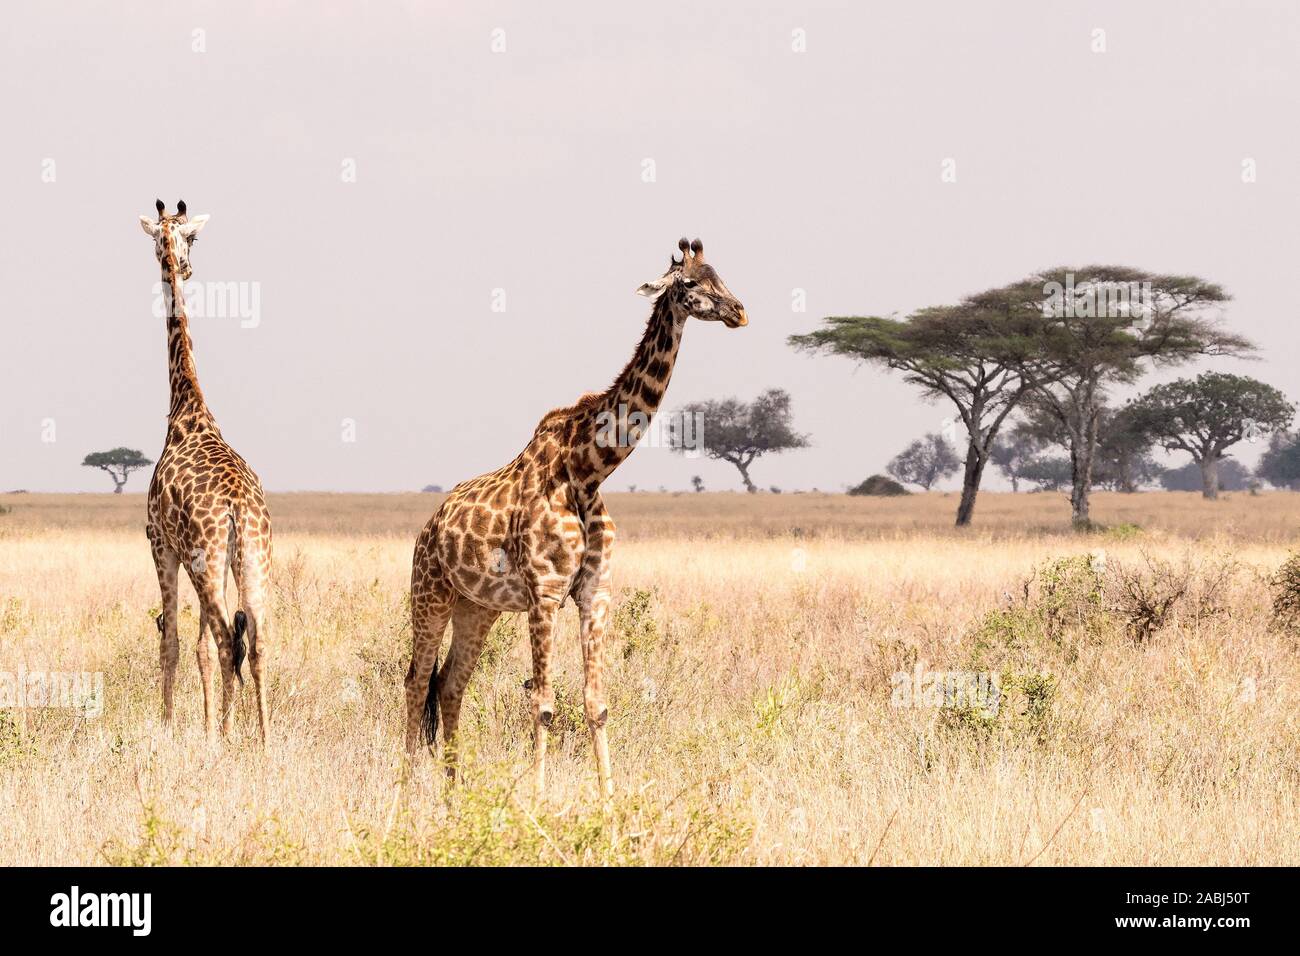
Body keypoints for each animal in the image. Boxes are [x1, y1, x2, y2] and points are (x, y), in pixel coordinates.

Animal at [404, 238, 747, 798]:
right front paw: (537, 800)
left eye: (723, 275)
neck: (589, 470)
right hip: (429, 593)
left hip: (478, 608)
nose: (740, 311)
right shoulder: (544, 592)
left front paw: (608, 800)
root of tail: (428, 527)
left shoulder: (594, 592)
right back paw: (407, 785)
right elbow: (543, 705)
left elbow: (595, 703)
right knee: (415, 680)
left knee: (451, 685)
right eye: (691, 283)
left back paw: (455, 793)